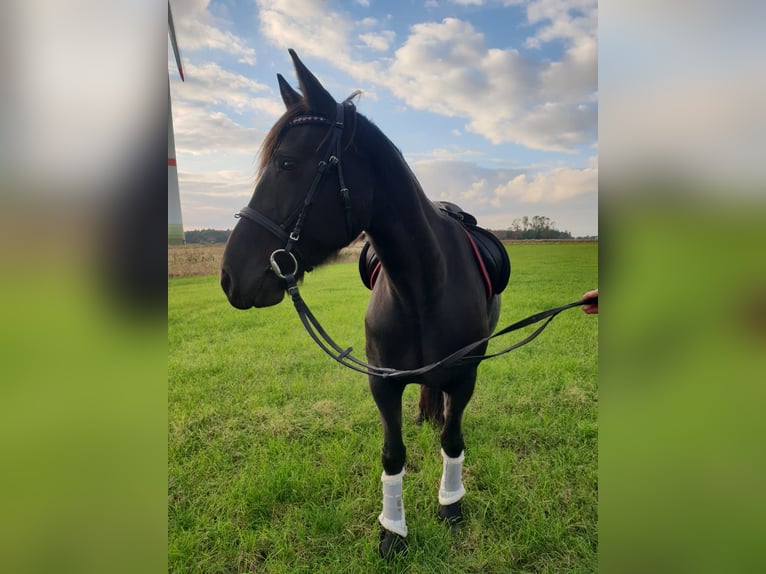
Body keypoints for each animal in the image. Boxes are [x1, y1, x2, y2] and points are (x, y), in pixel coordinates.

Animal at [222, 50, 508, 560]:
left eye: (287, 162)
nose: (230, 275)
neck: (422, 287)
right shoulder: (383, 383)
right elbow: (393, 455)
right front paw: (393, 531)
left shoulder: (465, 376)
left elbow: (453, 440)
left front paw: (450, 505)